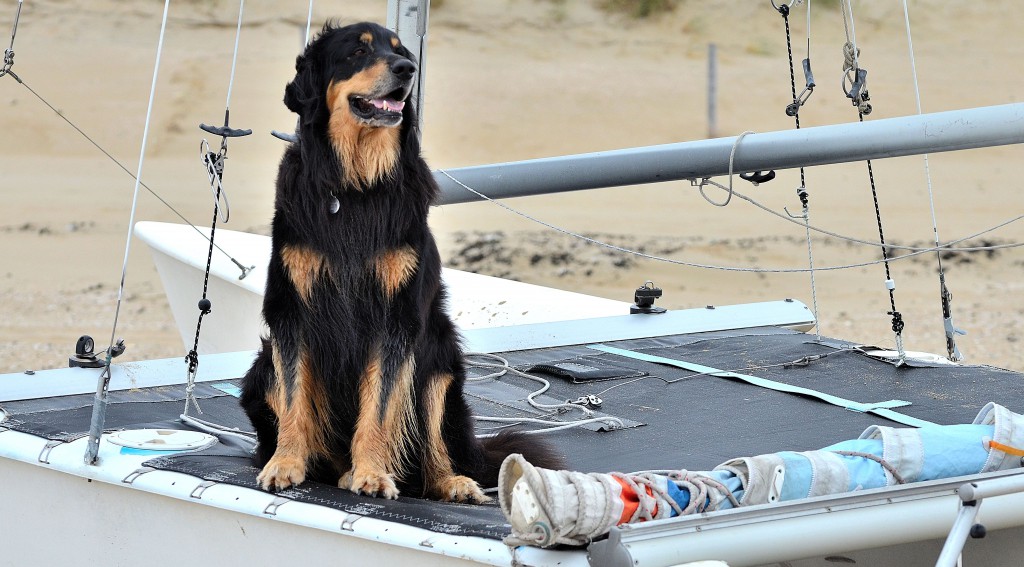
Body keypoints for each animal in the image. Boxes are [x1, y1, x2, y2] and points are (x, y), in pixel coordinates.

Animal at [239, 20, 561, 499]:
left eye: (400, 51)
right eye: (357, 52)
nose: (407, 70)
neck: (354, 186)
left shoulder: (396, 318)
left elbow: (379, 406)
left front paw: (373, 473)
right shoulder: (291, 312)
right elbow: (296, 401)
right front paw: (285, 464)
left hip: (439, 365)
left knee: (434, 454)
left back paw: (452, 483)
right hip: (262, 370)